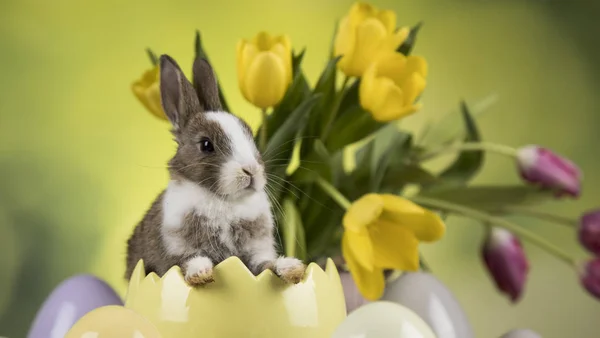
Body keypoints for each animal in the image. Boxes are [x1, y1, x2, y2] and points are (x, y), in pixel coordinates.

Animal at [125, 54, 308, 286]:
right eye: (206, 145)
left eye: (250, 136)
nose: (251, 171)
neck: (225, 201)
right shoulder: (174, 253)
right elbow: (188, 261)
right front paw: (201, 274)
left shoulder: (256, 254)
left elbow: (267, 264)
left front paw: (292, 268)